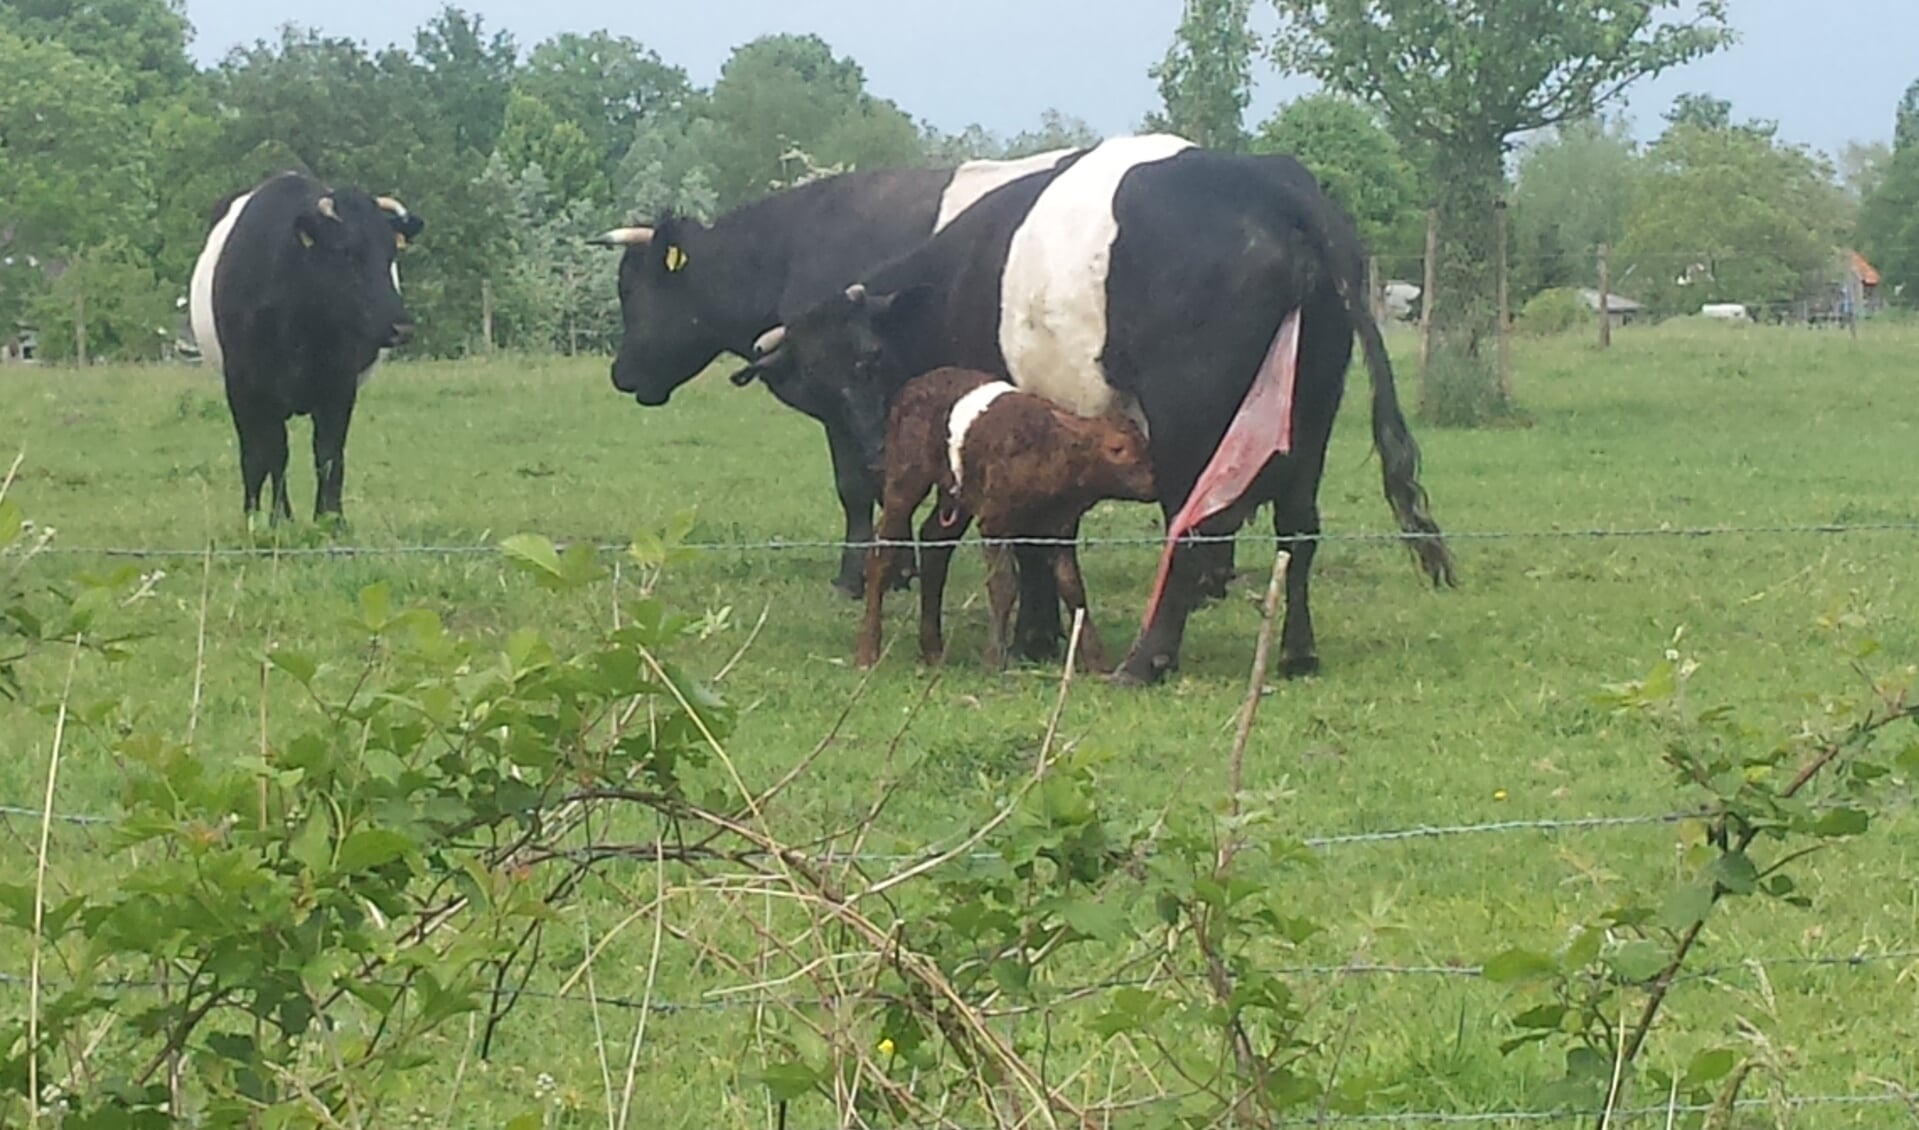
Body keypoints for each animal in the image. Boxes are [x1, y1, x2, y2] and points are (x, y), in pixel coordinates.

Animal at [187, 169, 424, 521]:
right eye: (345, 252)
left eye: (390, 255)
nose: (402, 327)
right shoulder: (248, 387)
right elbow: (268, 456)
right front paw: (271, 520)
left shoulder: (339, 387)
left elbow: (328, 456)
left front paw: (331, 520)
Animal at [583, 153, 1082, 606]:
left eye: (629, 289)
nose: (620, 373)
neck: (789, 251)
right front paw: (897, 569)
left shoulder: (847, 407)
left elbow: (857, 485)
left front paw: (858, 576)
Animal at [859, 368, 1151, 671]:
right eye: (1117, 449)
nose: (1154, 484)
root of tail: (915, 384)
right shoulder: (995, 521)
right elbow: (1004, 585)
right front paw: (994, 660)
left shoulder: (1058, 526)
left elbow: (1073, 587)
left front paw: (1097, 662)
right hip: (905, 476)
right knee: (882, 552)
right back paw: (868, 652)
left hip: (958, 491)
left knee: (935, 542)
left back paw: (933, 651)